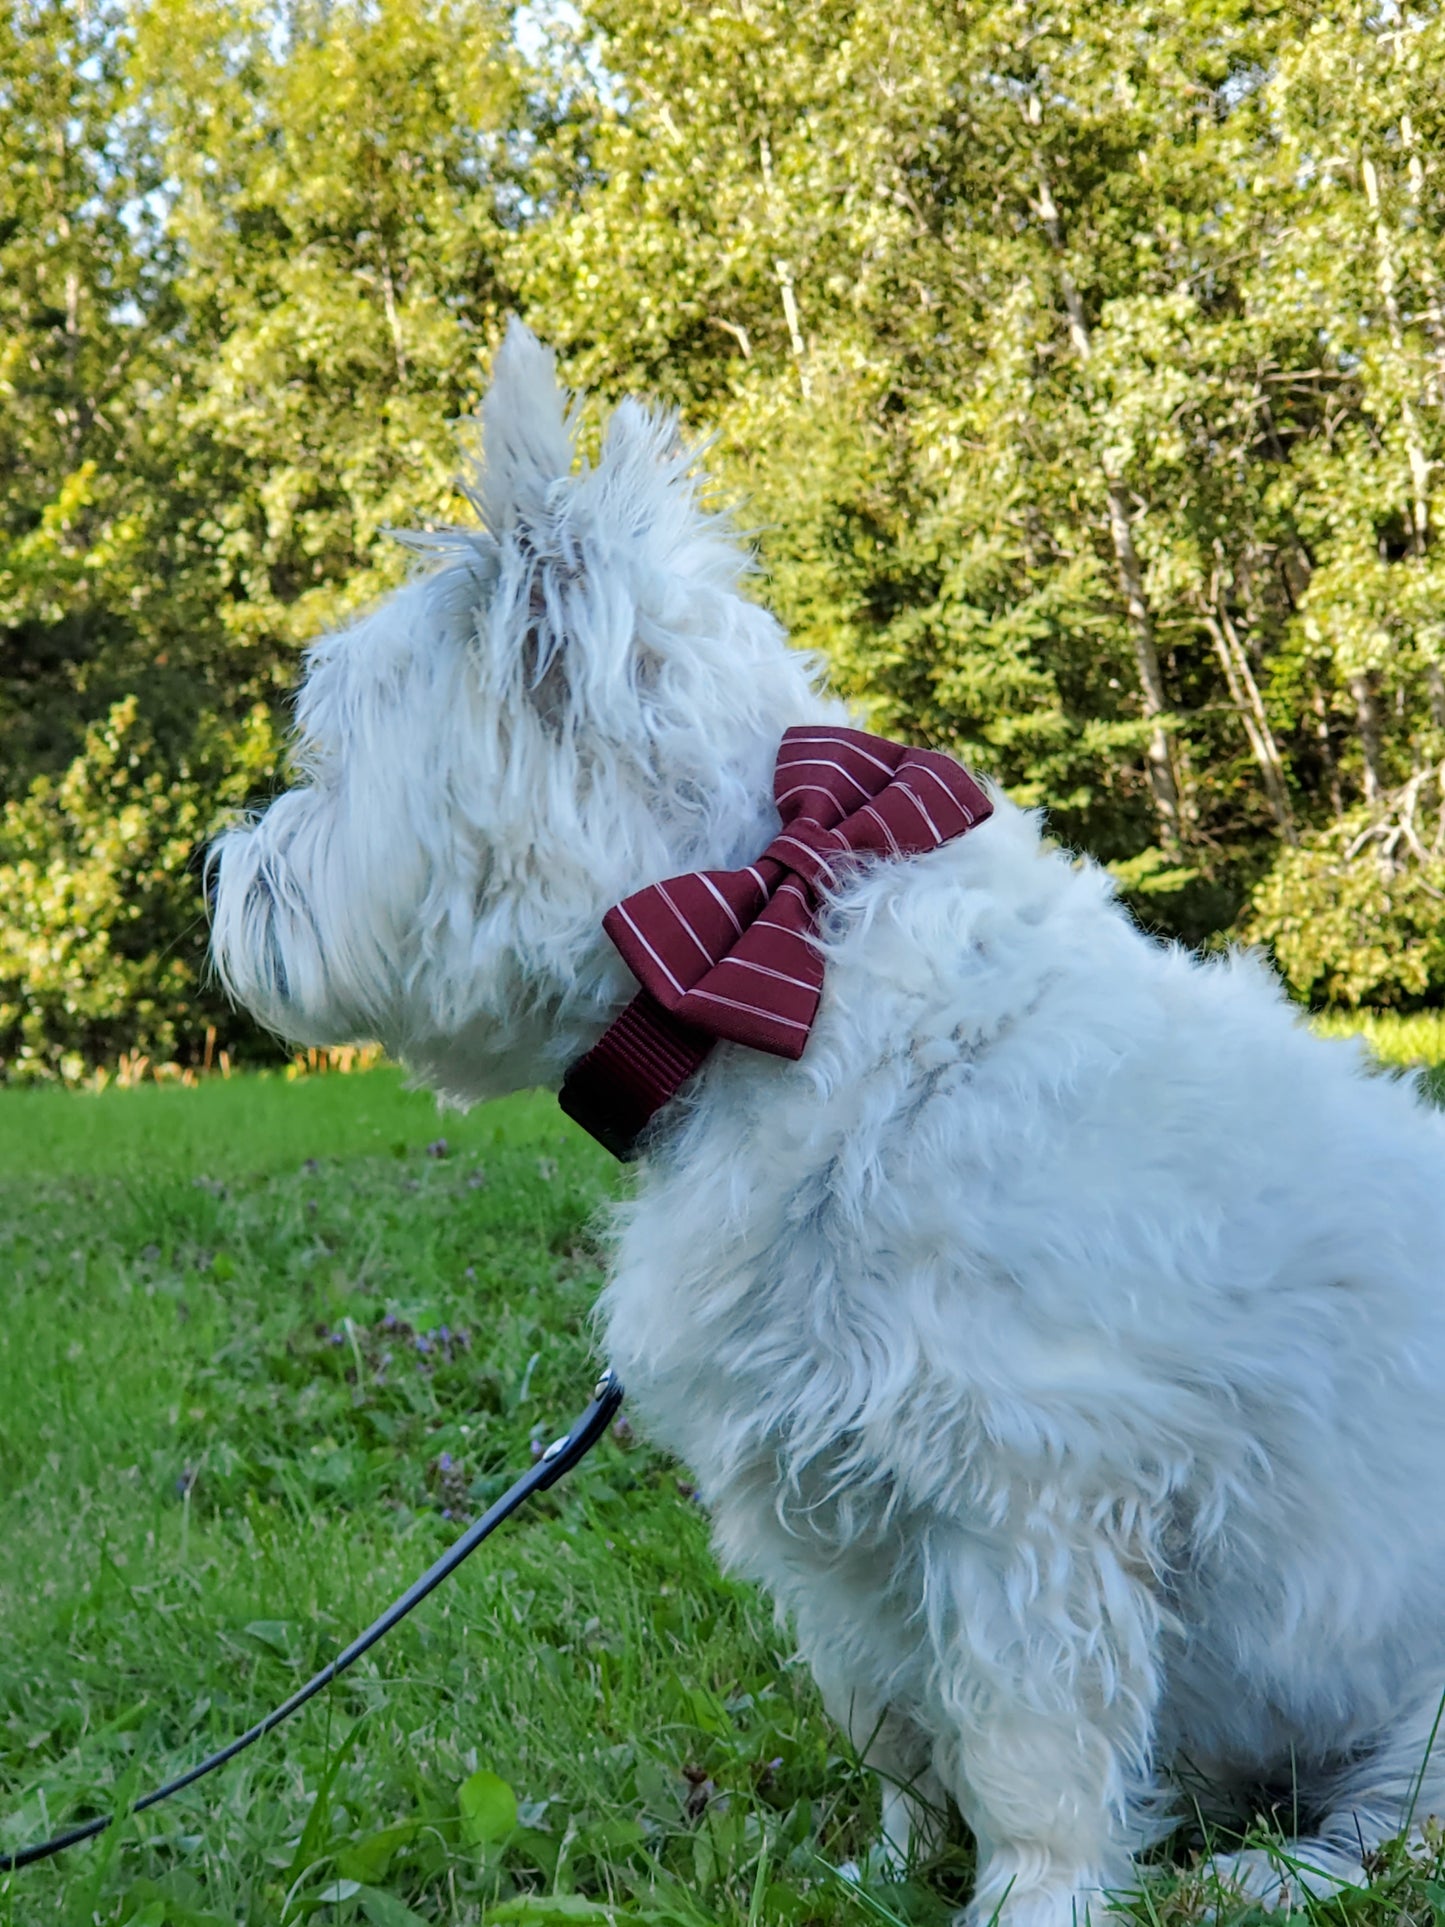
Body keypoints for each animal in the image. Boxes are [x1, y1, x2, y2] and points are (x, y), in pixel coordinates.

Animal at [206, 323, 1445, 1919]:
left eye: (330, 755)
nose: (218, 870)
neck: (768, 964)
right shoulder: (837, 1510)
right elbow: (900, 1727)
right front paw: (881, 1867)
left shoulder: (1027, 1497)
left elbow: (1028, 1751)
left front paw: (1026, 1900)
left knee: (1401, 1821)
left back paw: (1267, 1870)